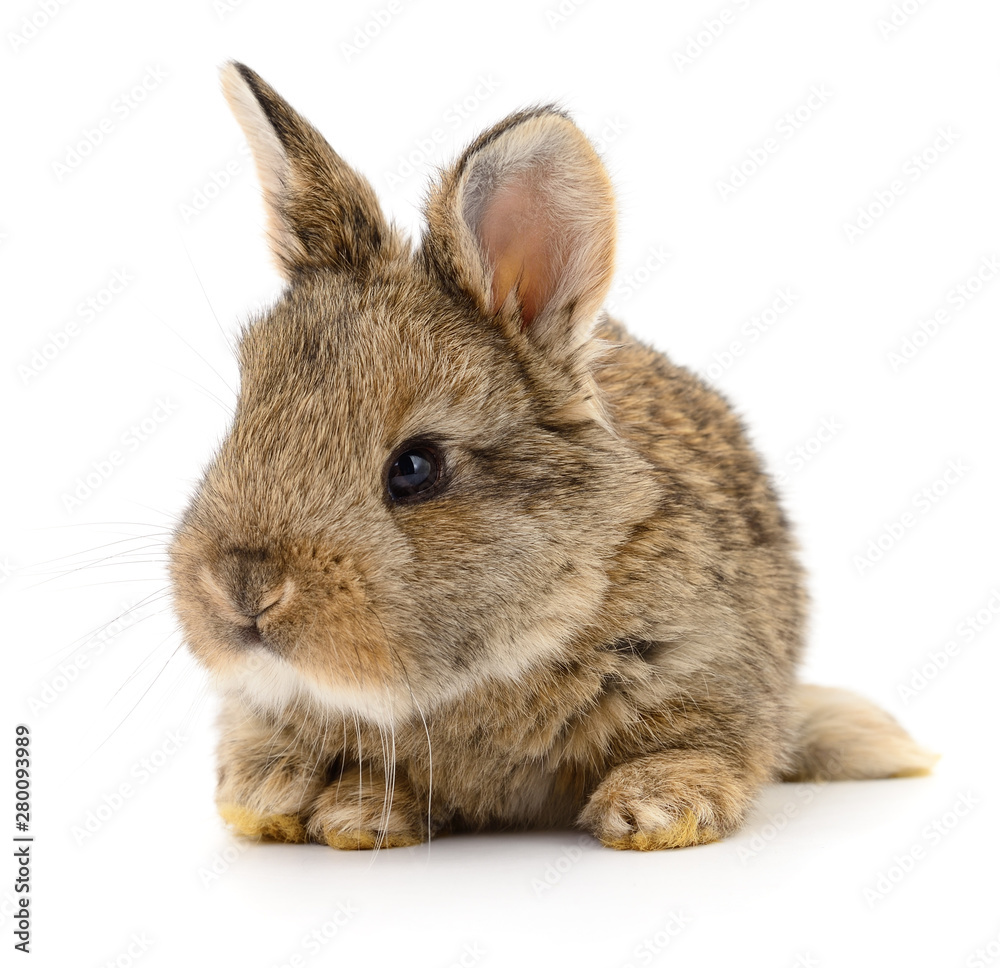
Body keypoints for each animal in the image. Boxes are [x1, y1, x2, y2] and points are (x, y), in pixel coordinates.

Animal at [168, 61, 937, 851]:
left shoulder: (715, 673)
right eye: (242, 417)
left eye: (415, 467)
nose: (244, 589)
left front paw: (656, 810)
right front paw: (313, 803)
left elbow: (710, 747)